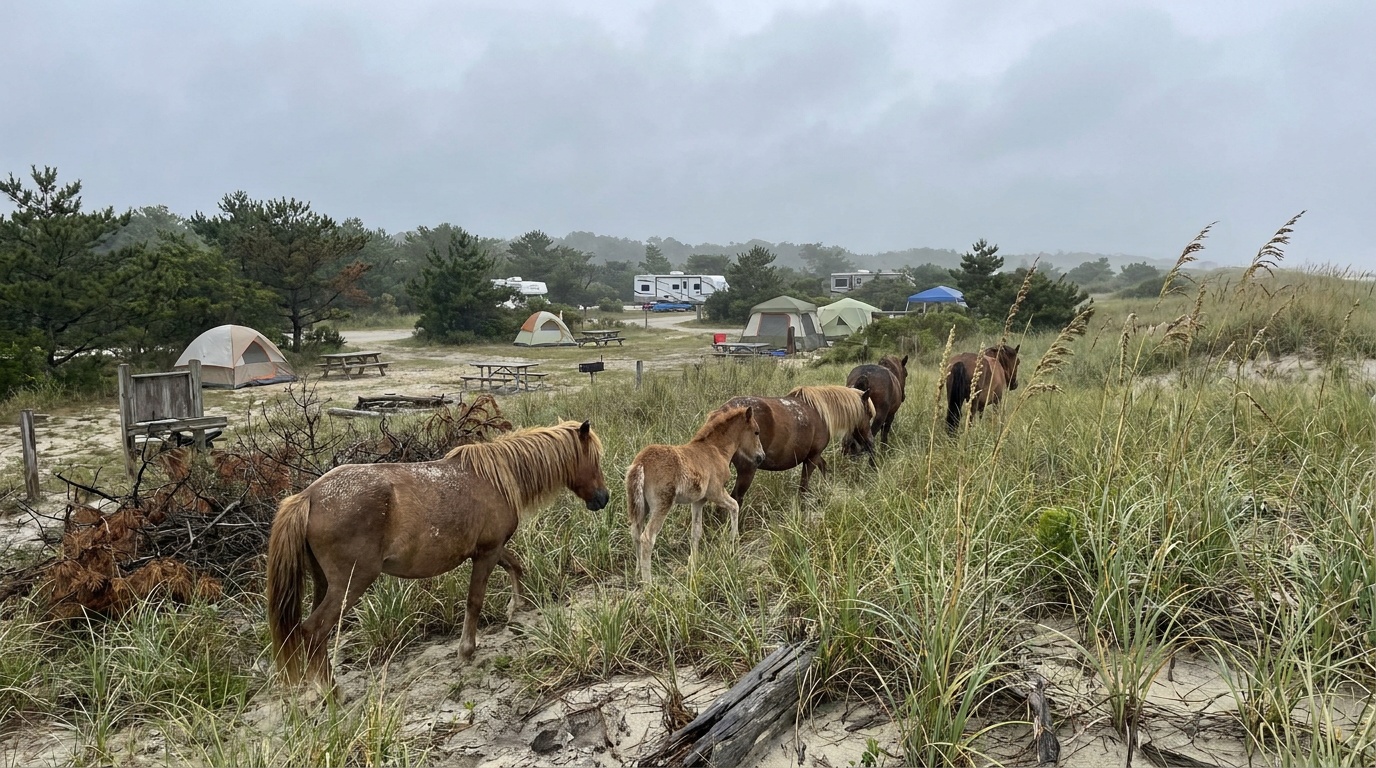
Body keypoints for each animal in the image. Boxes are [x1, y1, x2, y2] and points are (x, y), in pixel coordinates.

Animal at [266, 420, 609, 692]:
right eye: (594, 458)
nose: (603, 499)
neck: (497, 478)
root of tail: (308, 496)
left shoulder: (491, 549)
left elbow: (516, 566)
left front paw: (515, 606)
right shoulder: (486, 553)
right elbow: (475, 601)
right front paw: (466, 650)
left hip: (324, 583)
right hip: (351, 583)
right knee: (314, 632)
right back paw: (331, 694)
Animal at [625, 405, 766, 584]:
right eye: (756, 432)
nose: (761, 457)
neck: (715, 449)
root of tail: (641, 463)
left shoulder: (699, 501)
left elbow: (696, 531)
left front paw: (693, 562)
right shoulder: (716, 493)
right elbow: (734, 506)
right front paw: (733, 542)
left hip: (640, 505)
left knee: (635, 532)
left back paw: (637, 572)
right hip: (662, 505)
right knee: (647, 537)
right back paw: (648, 583)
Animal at [717, 385, 876, 507]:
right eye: (869, 414)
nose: (870, 442)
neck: (821, 413)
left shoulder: (814, 456)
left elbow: (824, 467)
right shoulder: (812, 457)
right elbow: (803, 487)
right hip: (747, 470)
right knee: (736, 499)